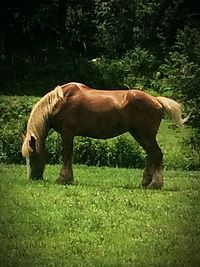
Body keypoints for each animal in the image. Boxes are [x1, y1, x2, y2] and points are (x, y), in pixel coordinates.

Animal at [21, 82, 185, 189]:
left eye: (32, 155)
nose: (33, 178)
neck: (60, 102)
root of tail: (157, 100)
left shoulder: (67, 133)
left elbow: (66, 155)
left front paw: (62, 179)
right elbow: (70, 156)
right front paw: (69, 179)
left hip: (145, 135)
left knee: (156, 154)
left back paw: (155, 184)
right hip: (139, 135)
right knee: (151, 155)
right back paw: (146, 182)